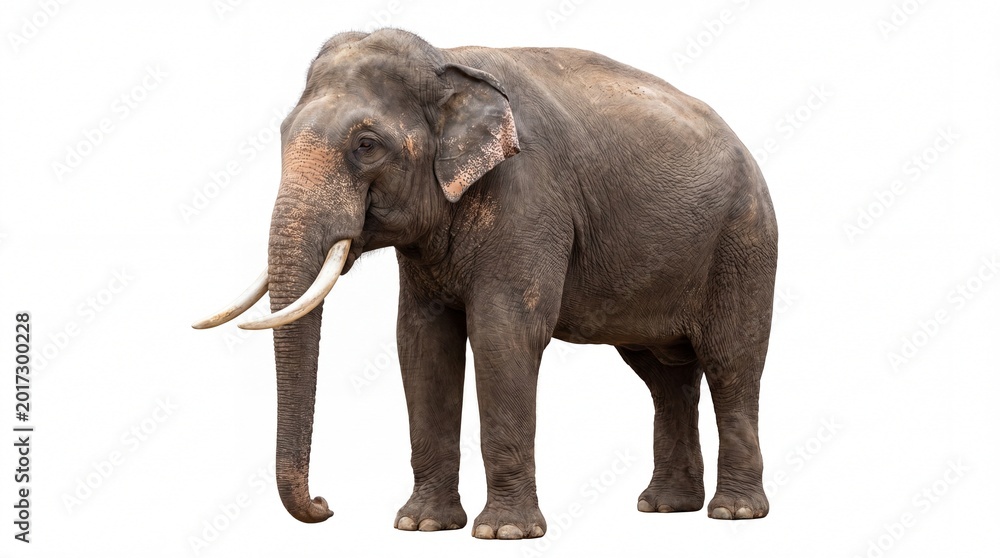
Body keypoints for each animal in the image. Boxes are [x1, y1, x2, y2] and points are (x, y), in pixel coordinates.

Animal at [193, 28, 778, 540]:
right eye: (282, 134)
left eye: (366, 144)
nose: (324, 505)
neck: (447, 60)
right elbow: (421, 342)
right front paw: (422, 525)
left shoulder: (529, 199)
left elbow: (504, 335)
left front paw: (504, 533)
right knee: (664, 377)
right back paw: (665, 507)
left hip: (744, 244)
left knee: (731, 362)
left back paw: (733, 513)